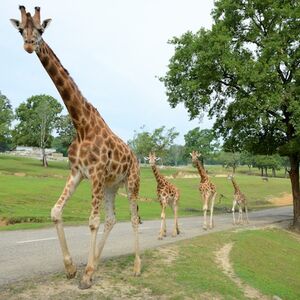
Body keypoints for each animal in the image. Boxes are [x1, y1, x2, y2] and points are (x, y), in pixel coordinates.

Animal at [9, 6, 141, 288]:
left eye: (41, 30)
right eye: (20, 29)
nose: (29, 45)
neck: (81, 125)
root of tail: (137, 157)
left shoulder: (96, 174)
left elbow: (92, 222)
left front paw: (85, 276)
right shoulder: (78, 172)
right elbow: (56, 211)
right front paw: (72, 269)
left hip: (131, 182)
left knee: (133, 218)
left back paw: (135, 267)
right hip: (112, 186)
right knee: (112, 219)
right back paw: (95, 265)